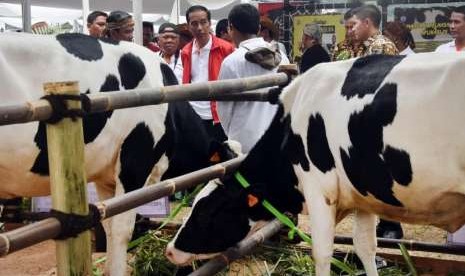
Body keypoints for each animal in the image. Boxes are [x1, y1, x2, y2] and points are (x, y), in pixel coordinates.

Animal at [165, 52, 464, 274]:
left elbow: (321, 253)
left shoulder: (319, 190)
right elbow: (365, 246)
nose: (169, 250)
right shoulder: (362, 195)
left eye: (205, 212)